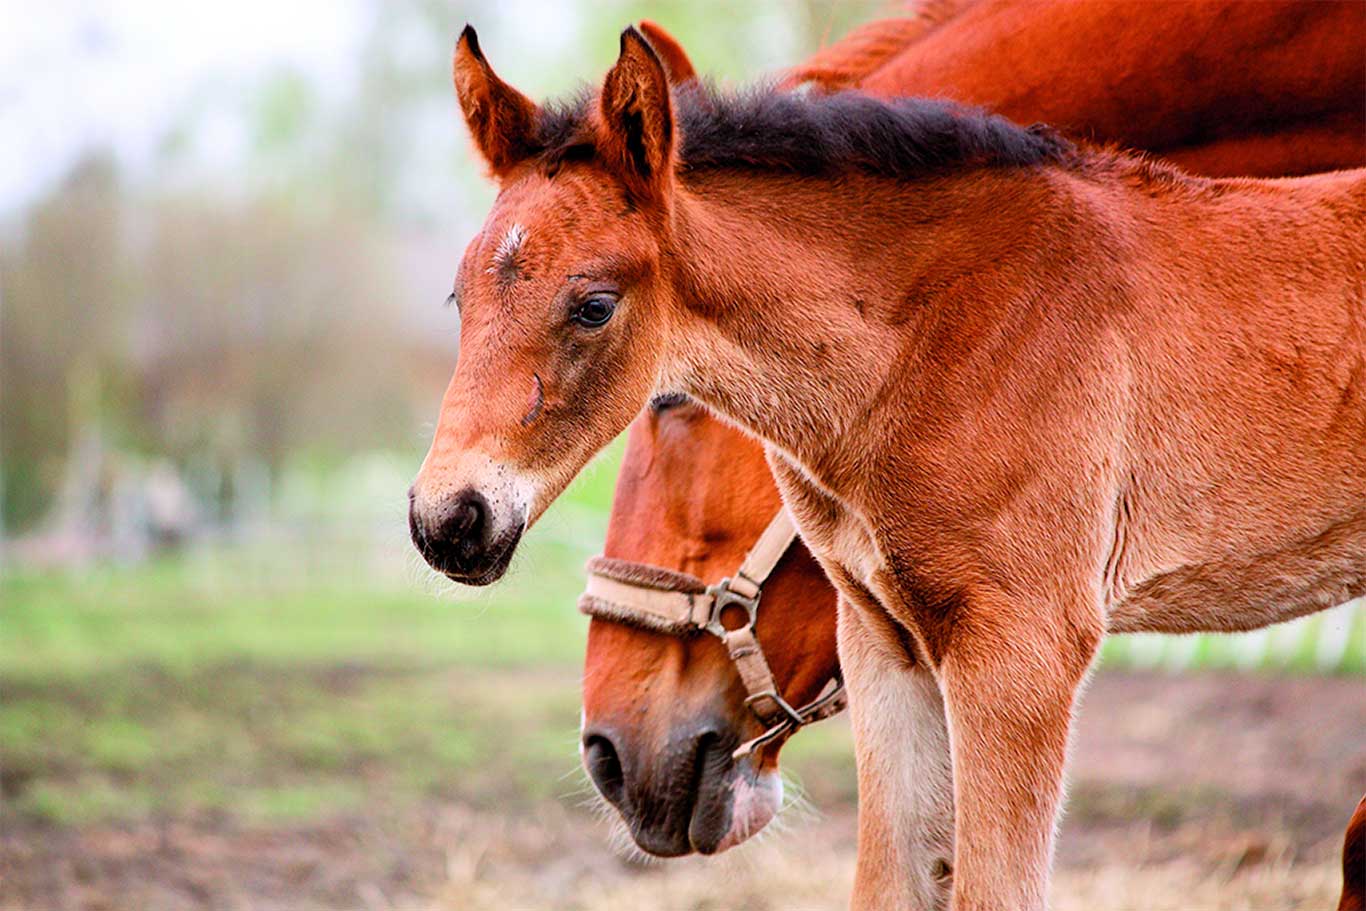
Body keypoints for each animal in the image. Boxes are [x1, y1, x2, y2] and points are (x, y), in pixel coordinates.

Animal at [412, 19, 1366, 911]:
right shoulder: (885, 646)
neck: (944, 324)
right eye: (459, 297)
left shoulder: (1023, 649)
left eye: (596, 306)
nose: (446, 520)